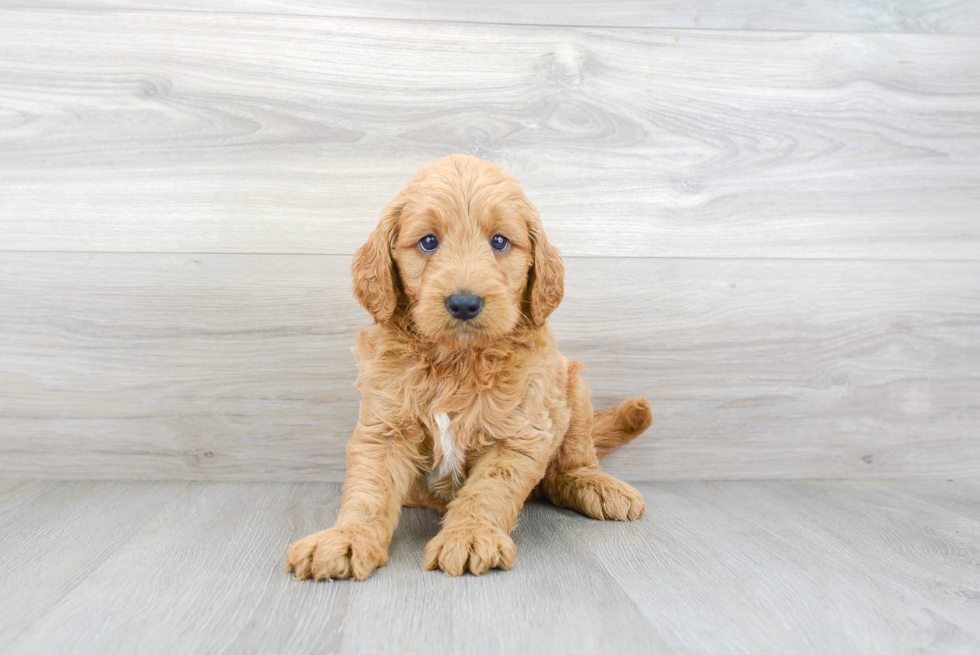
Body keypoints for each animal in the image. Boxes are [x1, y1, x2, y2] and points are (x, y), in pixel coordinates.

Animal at [284, 156, 652, 580]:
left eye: (500, 242)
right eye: (428, 242)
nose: (464, 303)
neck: (456, 361)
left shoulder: (520, 433)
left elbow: (488, 490)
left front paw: (471, 535)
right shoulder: (384, 428)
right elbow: (369, 490)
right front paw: (344, 539)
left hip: (573, 388)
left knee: (568, 467)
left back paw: (596, 486)